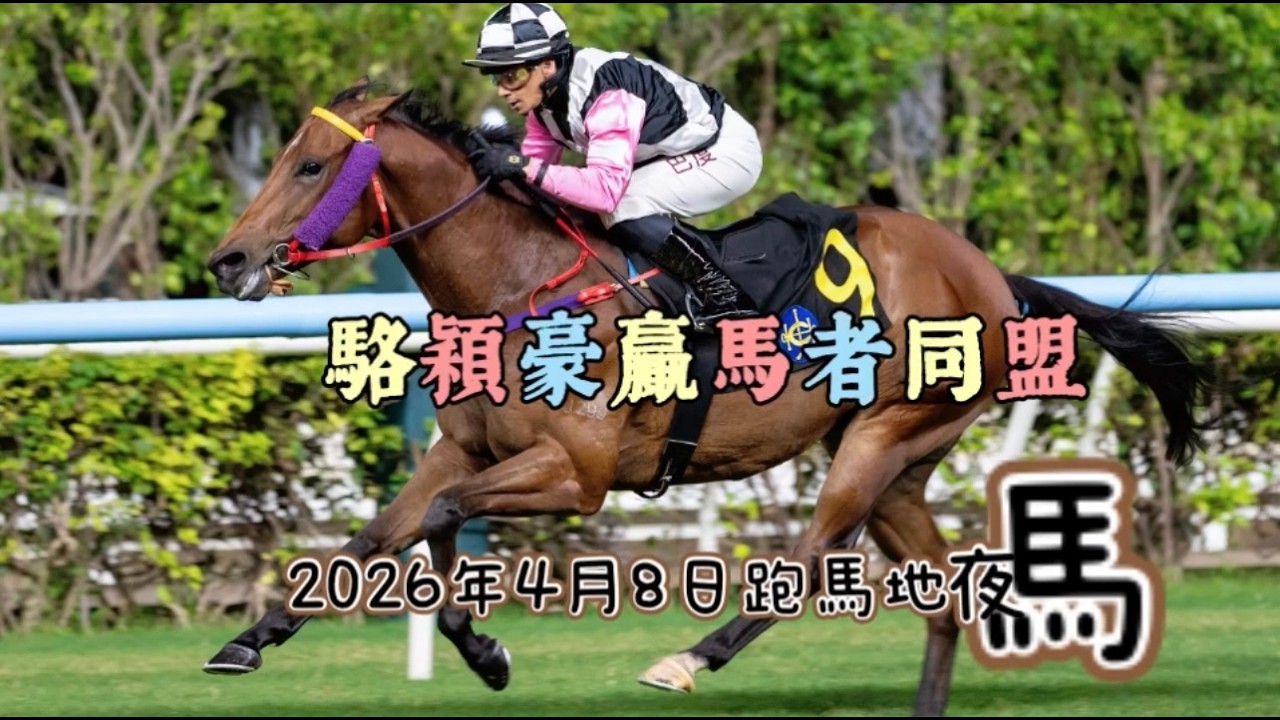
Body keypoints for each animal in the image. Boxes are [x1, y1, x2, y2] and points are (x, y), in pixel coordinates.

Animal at [201, 80, 1214, 716]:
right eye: (284, 156)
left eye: (310, 167)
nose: (228, 260)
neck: (517, 282)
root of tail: (994, 278)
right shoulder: (467, 448)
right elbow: (379, 533)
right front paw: (251, 638)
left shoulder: (577, 474)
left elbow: (446, 516)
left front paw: (481, 647)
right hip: (899, 463)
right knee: (941, 602)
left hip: (880, 438)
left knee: (810, 562)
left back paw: (688, 659)